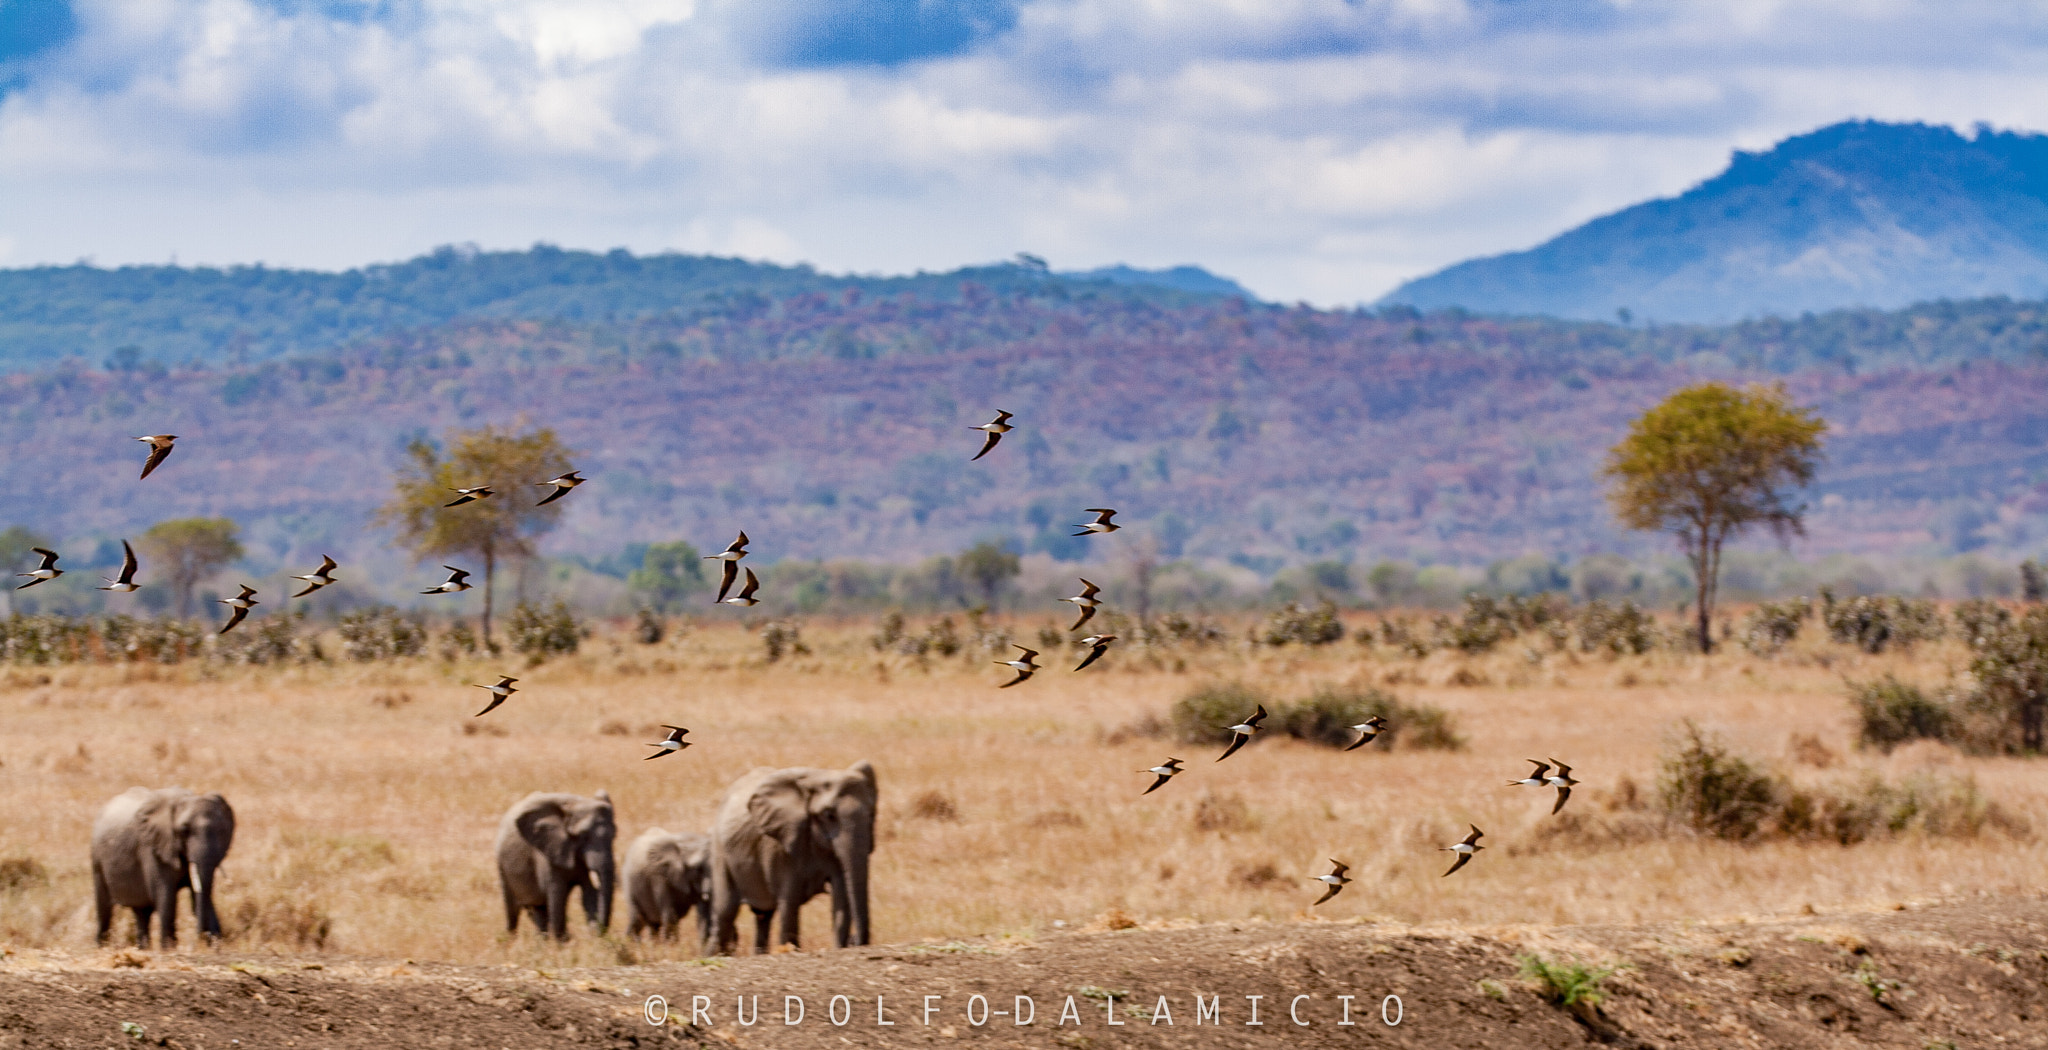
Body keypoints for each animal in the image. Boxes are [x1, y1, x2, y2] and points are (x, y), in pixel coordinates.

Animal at [90, 787, 236, 949]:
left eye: (222, 831)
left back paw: (143, 949)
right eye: (184, 830)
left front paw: (216, 946)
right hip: (97, 861)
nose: (199, 940)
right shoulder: (153, 849)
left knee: (142, 913)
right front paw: (168, 949)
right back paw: (101, 947)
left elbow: (198, 894)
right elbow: (166, 897)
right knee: (104, 911)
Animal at [495, 790, 617, 941]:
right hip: (502, 865)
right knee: (512, 912)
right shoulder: (549, 851)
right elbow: (557, 895)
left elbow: (589, 894)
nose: (596, 933)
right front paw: (563, 942)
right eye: (583, 836)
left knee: (539, 910)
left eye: (614, 835)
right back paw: (510, 941)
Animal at [709, 761, 876, 954]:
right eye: (829, 815)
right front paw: (789, 948)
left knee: (763, 915)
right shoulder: (779, 847)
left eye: (871, 814)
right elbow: (789, 904)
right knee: (725, 912)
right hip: (720, 850)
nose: (855, 940)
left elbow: (841, 899)